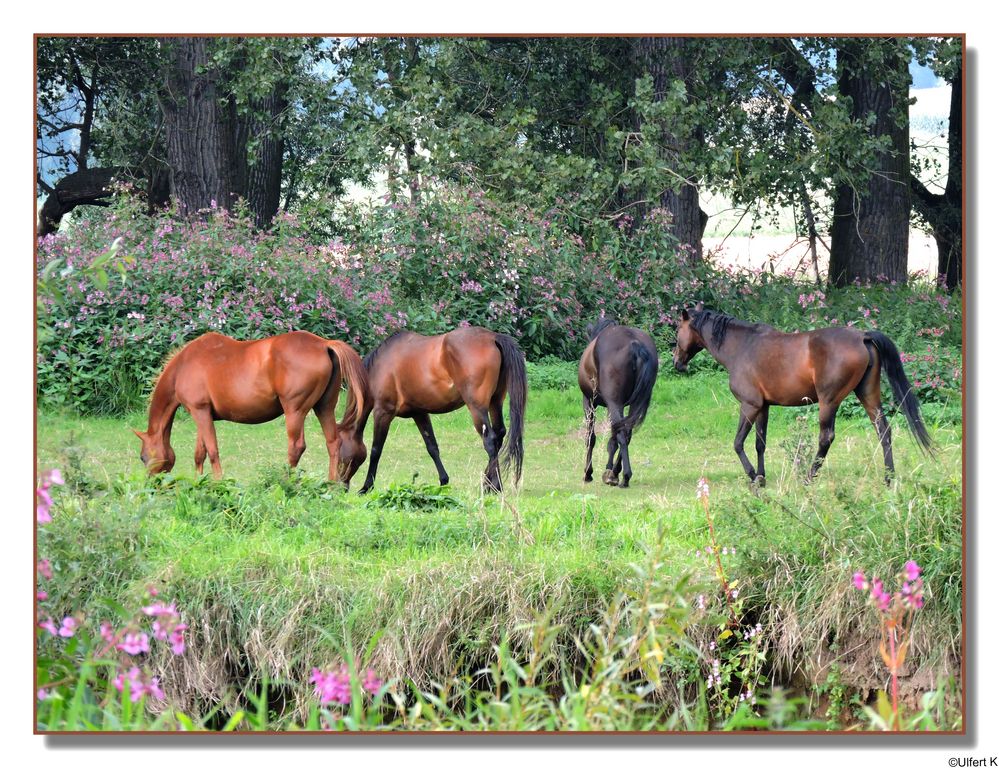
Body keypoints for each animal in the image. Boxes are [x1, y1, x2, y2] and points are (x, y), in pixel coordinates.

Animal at [133, 332, 368, 484]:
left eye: (143, 457)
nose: (151, 484)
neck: (184, 365)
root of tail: (323, 344)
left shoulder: (199, 412)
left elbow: (212, 451)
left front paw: (218, 483)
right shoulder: (203, 414)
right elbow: (200, 453)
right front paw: (199, 482)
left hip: (295, 410)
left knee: (296, 447)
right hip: (324, 408)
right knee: (333, 443)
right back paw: (332, 485)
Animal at [338, 324, 528, 492]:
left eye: (338, 450)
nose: (339, 486)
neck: (380, 366)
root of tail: (493, 337)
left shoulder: (383, 412)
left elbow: (376, 450)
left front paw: (366, 487)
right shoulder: (420, 413)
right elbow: (432, 447)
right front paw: (444, 481)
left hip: (477, 407)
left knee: (490, 440)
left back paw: (495, 486)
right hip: (495, 402)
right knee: (499, 435)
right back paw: (487, 483)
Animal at [576, 316, 660, 486]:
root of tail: (635, 344)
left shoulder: (589, 402)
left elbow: (591, 437)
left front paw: (588, 472)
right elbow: (612, 440)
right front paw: (609, 468)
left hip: (613, 404)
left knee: (621, 434)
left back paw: (623, 476)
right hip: (634, 404)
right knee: (626, 434)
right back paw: (615, 472)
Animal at [676, 304, 932, 484]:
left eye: (678, 330)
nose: (677, 362)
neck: (742, 346)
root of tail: (863, 336)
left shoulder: (749, 405)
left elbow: (738, 443)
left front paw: (752, 475)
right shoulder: (763, 407)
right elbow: (760, 444)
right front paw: (761, 478)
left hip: (829, 401)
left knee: (826, 438)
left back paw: (809, 477)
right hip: (868, 394)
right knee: (883, 430)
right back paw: (889, 478)